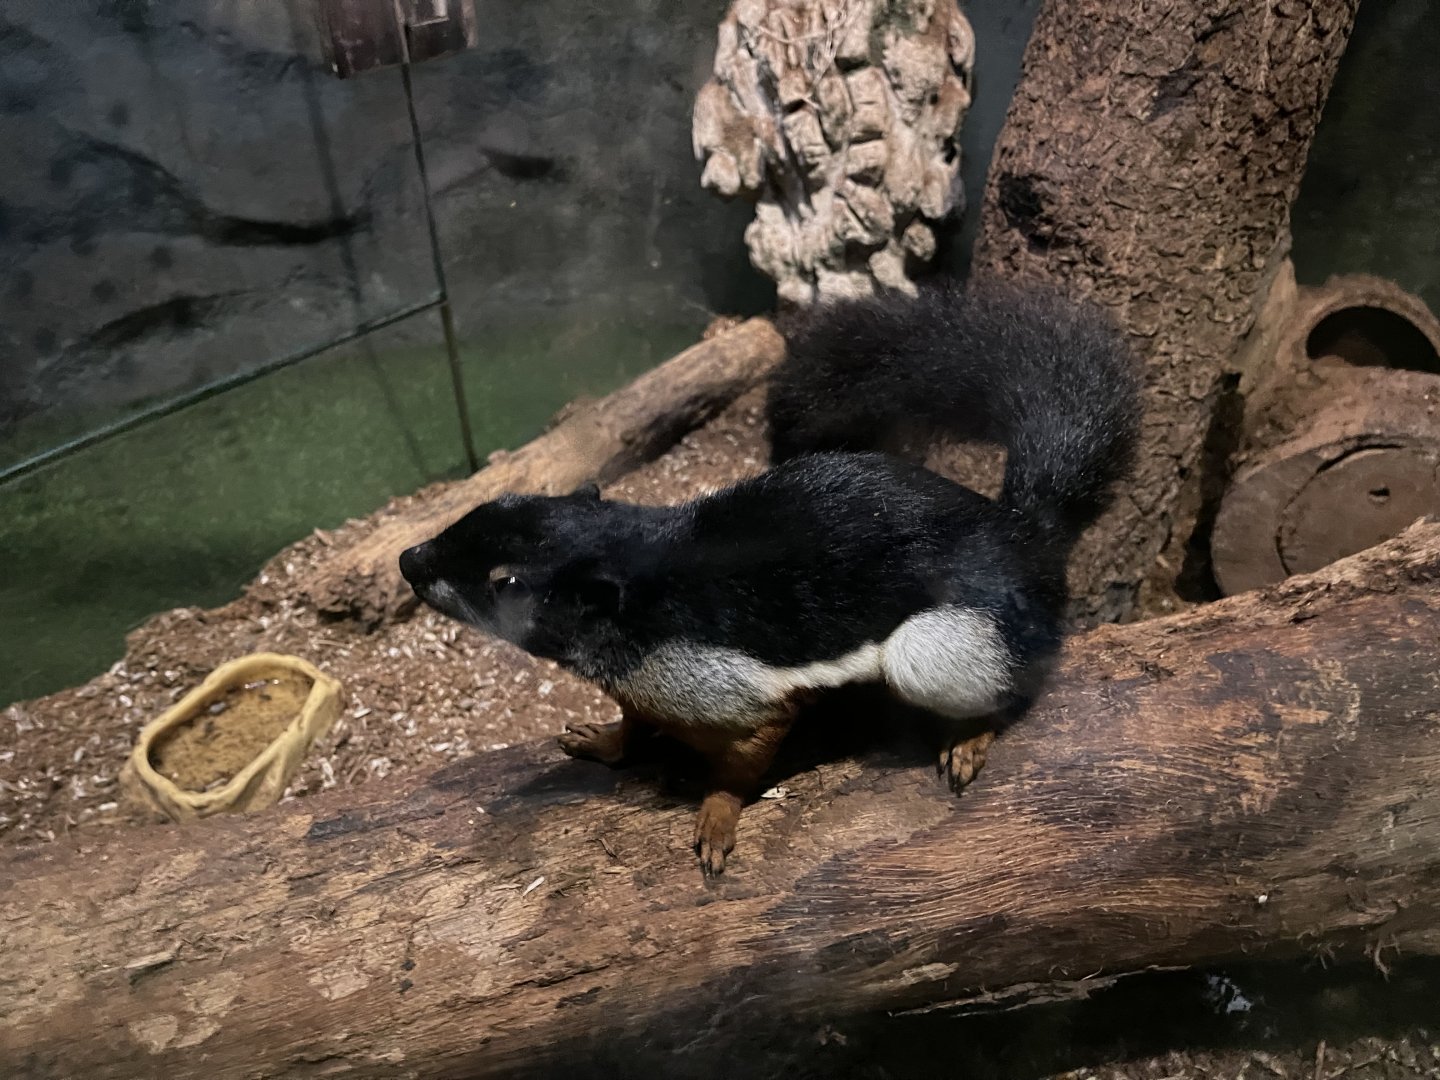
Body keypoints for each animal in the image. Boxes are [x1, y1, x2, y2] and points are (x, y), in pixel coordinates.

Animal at [398, 280, 1141, 876]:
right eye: (478, 512)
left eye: (507, 584)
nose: (408, 561)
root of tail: (1025, 530)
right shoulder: (642, 687)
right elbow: (633, 724)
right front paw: (601, 740)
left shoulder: (737, 694)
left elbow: (740, 763)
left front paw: (715, 821)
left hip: (937, 648)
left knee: (1011, 682)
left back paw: (969, 739)